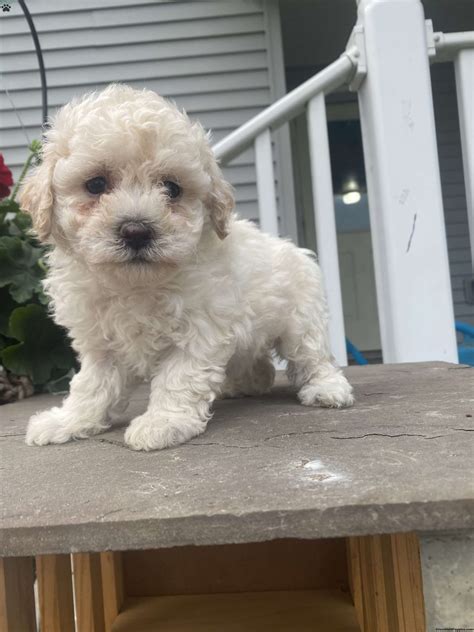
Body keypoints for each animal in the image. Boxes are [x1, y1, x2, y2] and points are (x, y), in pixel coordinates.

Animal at [22, 84, 354, 452]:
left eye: (172, 188)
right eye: (95, 184)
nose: (136, 230)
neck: (135, 284)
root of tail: (295, 249)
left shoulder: (200, 330)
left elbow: (177, 378)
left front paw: (162, 423)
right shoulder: (101, 344)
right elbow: (91, 385)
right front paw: (67, 421)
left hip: (301, 321)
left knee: (313, 356)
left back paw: (327, 389)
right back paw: (245, 384)